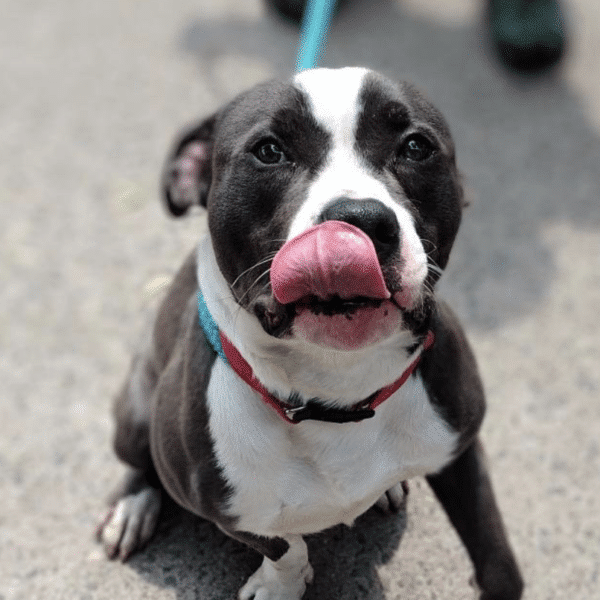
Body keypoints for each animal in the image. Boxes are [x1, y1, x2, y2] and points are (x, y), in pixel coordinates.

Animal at [96, 68, 524, 596]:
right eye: (269, 151)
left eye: (415, 146)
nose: (360, 220)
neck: (338, 388)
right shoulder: (227, 509)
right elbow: (284, 545)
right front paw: (281, 584)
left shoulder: (460, 447)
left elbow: (495, 555)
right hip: (137, 413)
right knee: (140, 463)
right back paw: (132, 507)